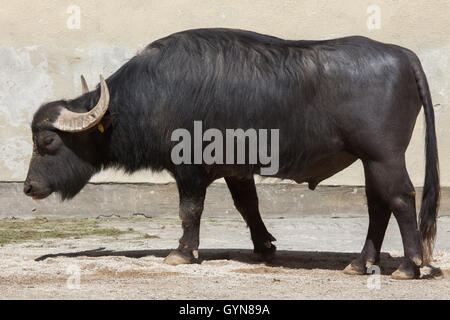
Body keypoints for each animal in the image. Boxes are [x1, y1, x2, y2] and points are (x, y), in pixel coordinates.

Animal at [22, 28, 438, 278]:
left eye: (48, 143)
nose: (28, 188)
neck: (151, 95)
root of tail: (403, 55)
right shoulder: (237, 169)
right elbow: (247, 205)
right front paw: (264, 247)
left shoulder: (188, 168)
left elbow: (190, 210)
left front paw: (182, 252)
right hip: (370, 160)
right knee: (378, 205)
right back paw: (360, 262)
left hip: (384, 156)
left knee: (401, 198)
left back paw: (409, 265)